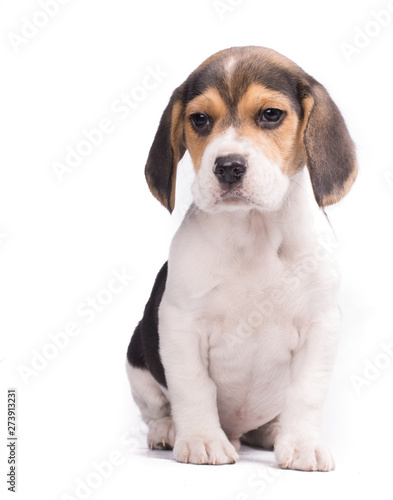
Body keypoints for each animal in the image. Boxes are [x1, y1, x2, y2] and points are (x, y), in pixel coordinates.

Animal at [125, 45, 356, 470]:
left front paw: (301, 444)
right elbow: (193, 387)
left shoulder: (321, 325)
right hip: (137, 355)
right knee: (156, 407)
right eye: (199, 119)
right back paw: (168, 430)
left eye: (271, 114)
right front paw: (201, 440)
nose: (229, 166)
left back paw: (272, 432)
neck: (255, 231)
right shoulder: (181, 324)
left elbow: (306, 392)